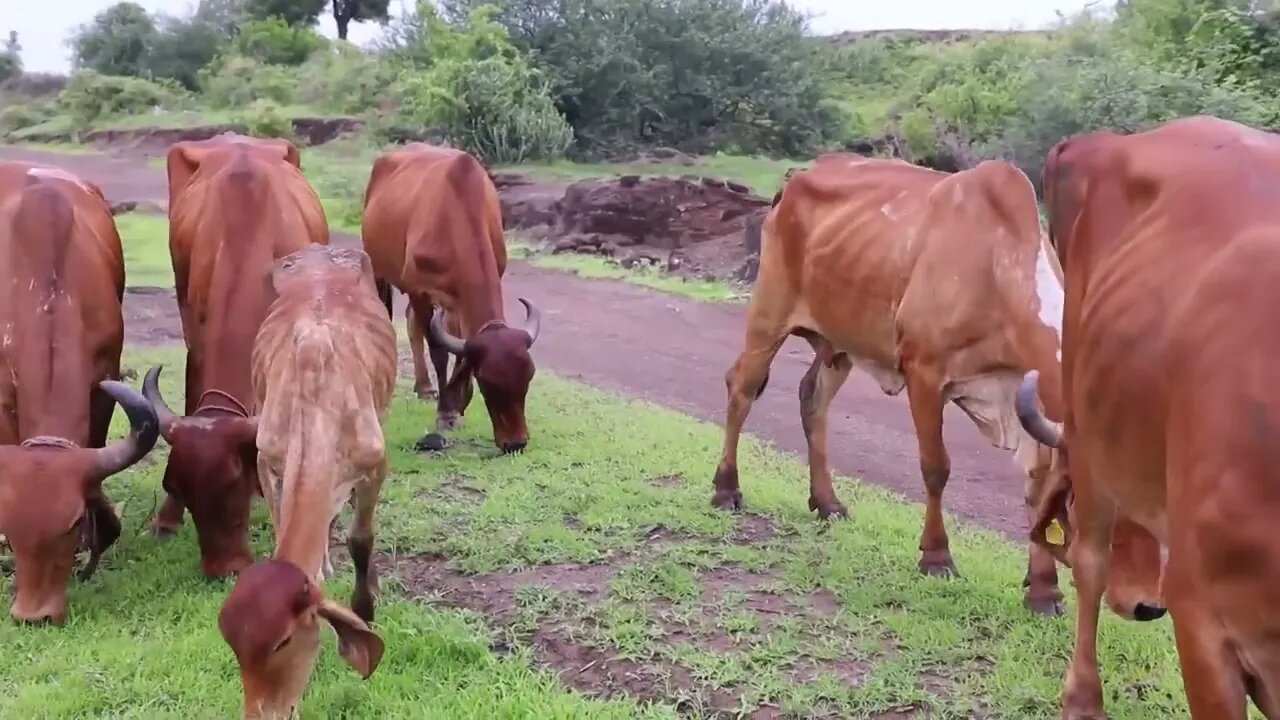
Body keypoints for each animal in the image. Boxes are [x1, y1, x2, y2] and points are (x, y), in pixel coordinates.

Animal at [360, 142, 540, 450]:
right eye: (488, 382)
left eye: (528, 377)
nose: (516, 442)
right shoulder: (421, 292)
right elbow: (440, 352)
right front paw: (446, 412)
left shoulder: (458, 300)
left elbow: (460, 347)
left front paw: (459, 403)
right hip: (379, 272)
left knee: (412, 324)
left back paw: (424, 387)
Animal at [711, 155, 1070, 609]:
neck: (997, 265)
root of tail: (795, 181)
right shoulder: (925, 374)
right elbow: (936, 468)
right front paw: (936, 557)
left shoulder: (1026, 398)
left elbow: (1038, 486)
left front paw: (1043, 587)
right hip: (768, 314)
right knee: (741, 387)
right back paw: (726, 489)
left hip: (838, 343)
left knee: (812, 398)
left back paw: (827, 502)